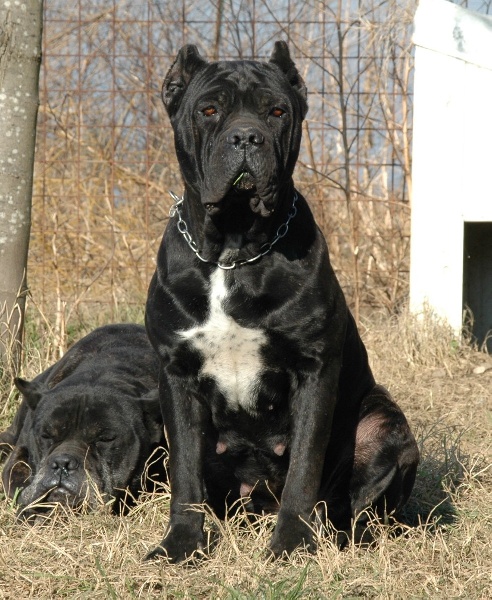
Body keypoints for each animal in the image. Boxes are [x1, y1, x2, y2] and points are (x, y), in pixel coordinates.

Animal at [145, 41, 419, 562]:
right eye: (208, 110)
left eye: (276, 112)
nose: (246, 137)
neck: (232, 252)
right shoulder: (176, 375)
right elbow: (185, 474)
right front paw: (180, 545)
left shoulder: (313, 369)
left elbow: (304, 469)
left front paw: (292, 543)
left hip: (382, 423)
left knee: (357, 503)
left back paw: (340, 536)